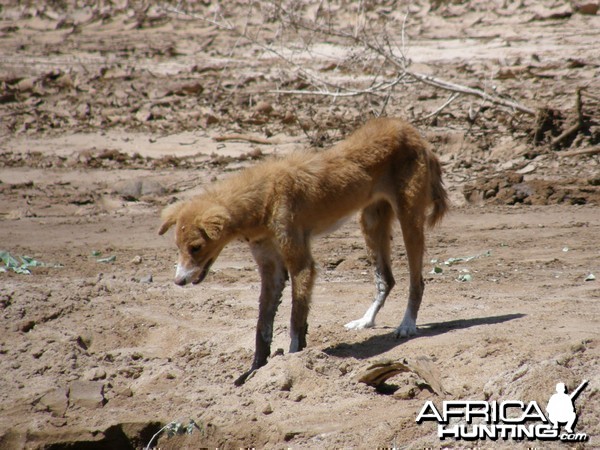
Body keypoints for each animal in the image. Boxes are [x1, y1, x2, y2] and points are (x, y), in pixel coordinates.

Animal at [157, 118, 448, 384]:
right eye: (178, 248)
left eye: (196, 248)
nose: (179, 281)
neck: (265, 198)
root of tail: (409, 129)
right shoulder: (272, 272)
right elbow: (262, 328)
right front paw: (254, 371)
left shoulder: (302, 265)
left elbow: (296, 321)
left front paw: (293, 359)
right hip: (370, 223)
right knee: (386, 280)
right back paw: (366, 321)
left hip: (409, 222)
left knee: (417, 282)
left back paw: (407, 325)